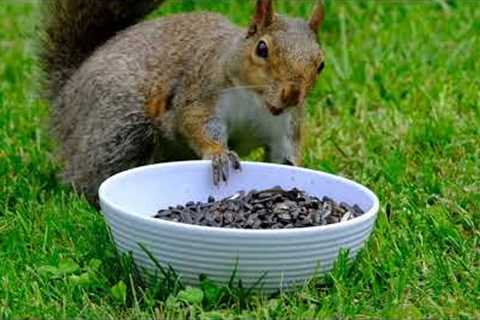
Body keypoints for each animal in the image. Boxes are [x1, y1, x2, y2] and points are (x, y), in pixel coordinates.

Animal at [40, 0, 326, 204]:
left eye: (320, 64)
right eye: (262, 49)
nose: (292, 94)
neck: (256, 102)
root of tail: (67, 90)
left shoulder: (286, 125)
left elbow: (283, 155)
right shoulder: (200, 92)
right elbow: (194, 123)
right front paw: (219, 153)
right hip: (120, 121)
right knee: (88, 173)